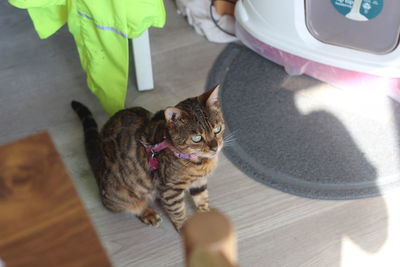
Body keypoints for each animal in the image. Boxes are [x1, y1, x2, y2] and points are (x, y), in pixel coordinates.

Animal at [70, 85, 223, 230]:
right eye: (197, 138)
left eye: (217, 129)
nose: (215, 147)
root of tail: (100, 164)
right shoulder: (169, 190)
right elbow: (178, 211)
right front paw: (184, 228)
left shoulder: (199, 181)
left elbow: (202, 198)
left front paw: (207, 218)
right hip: (121, 194)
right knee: (127, 207)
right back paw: (147, 213)